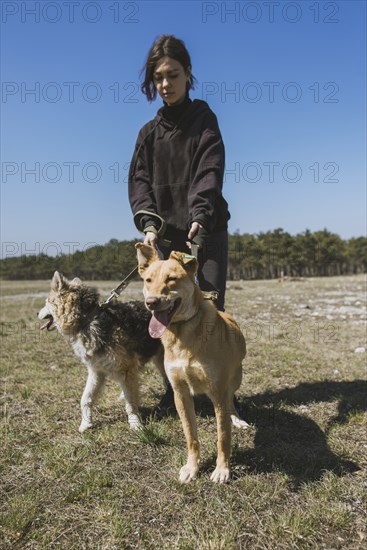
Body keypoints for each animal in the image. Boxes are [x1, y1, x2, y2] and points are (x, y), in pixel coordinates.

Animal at [137, 245, 249, 484]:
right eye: (148, 280)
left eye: (171, 279)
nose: (151, 302)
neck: (182, 332)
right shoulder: (180, 392)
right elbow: (190, 435)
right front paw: (192, 467)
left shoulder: (218, 391)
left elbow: (223, 436)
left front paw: (222, 469)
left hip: (234, 379)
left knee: (231, 400)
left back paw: (237, 419)